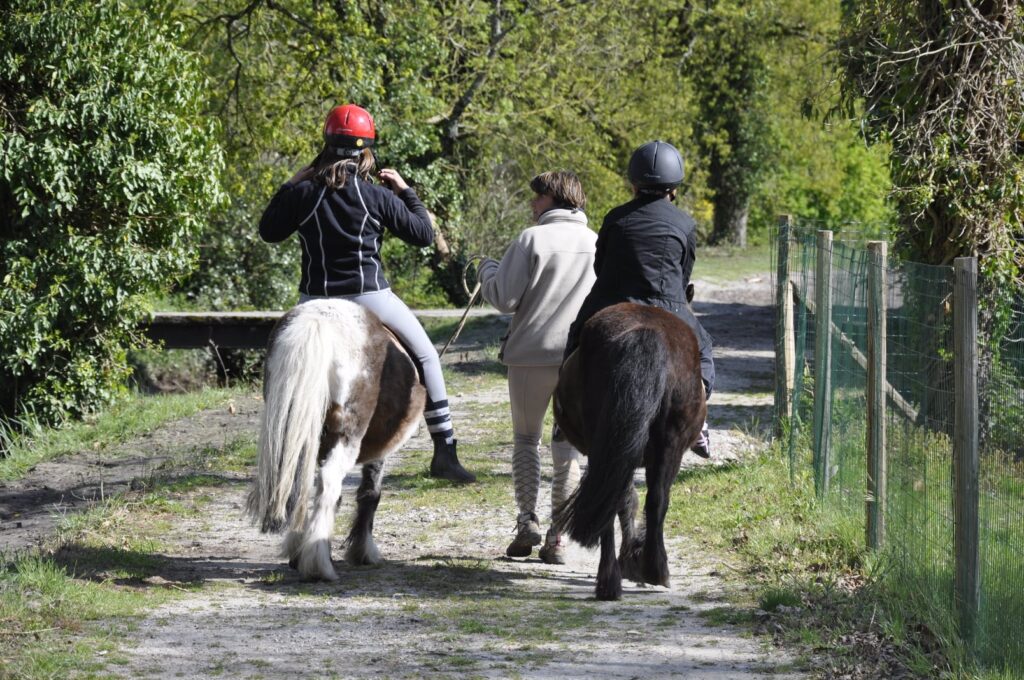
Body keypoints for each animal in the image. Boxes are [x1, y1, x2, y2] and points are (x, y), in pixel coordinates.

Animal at [557, 303, 708, 602]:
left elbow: (627, 500)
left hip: (608, 445)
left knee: (613, 500)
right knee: (656, 499)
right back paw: (654, 570)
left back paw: (609, 581)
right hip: (667, 445)